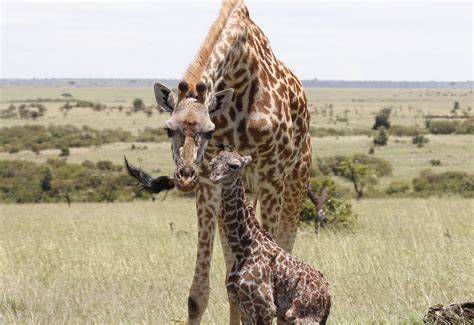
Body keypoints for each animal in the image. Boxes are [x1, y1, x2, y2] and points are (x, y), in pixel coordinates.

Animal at [154, 0, 312, 322]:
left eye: (208, 130)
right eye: (169, 128)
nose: (184, 176)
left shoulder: (271, 179)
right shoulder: (208, 182)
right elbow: (198, 296)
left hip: (295, 182)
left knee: (287, 247)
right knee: (233, 281)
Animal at [209, 145, 332, 324]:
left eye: (235, 166)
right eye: (212, 164)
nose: (214, 177)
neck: (243, 247)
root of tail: (328, 293)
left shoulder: (265, 309)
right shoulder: (245, 309)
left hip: (302, 316)